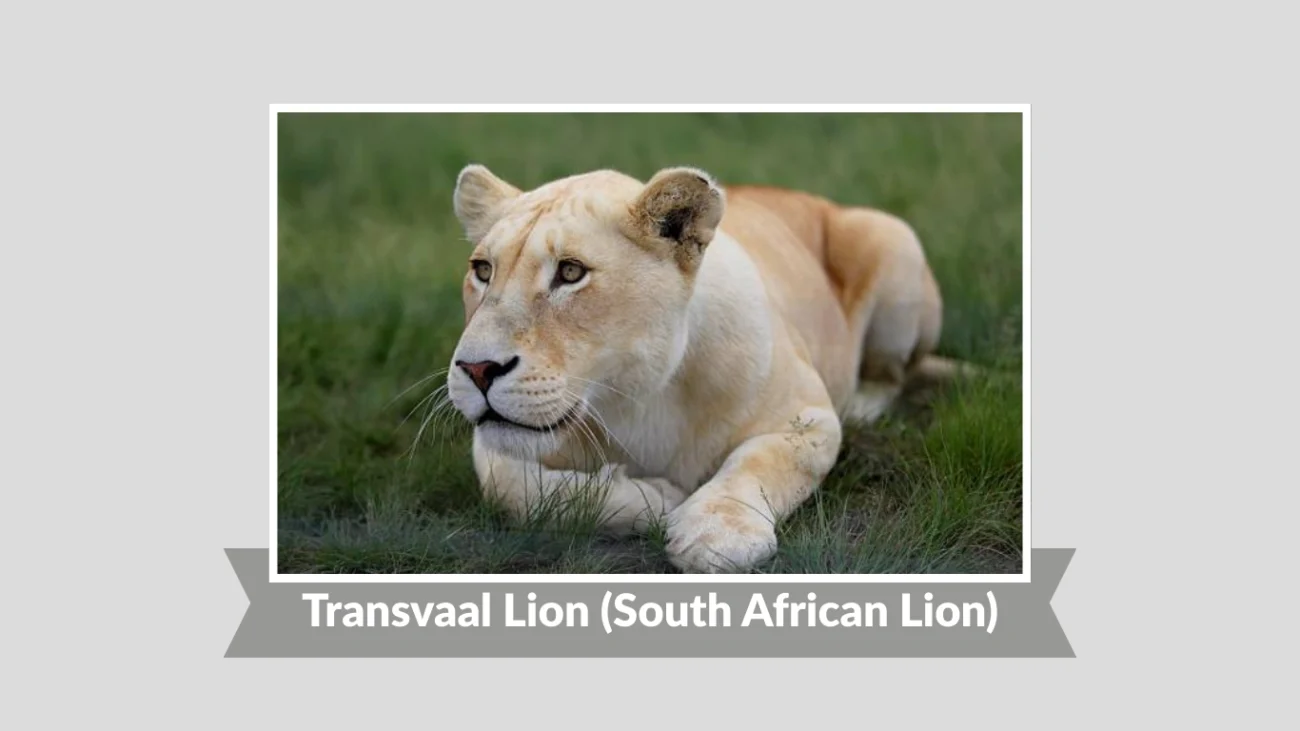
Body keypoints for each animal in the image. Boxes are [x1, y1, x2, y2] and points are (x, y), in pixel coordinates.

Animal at [445, 164, 958, 573]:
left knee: (892, 375)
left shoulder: (806, 418)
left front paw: (714, 536)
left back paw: (863, 406)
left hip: (893, 242)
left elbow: (759, 463)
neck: (635, 396)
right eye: (483, 270)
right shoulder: (494, 448)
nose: (476, 369)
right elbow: (515, 488)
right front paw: (659, 497)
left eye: (570, 272)